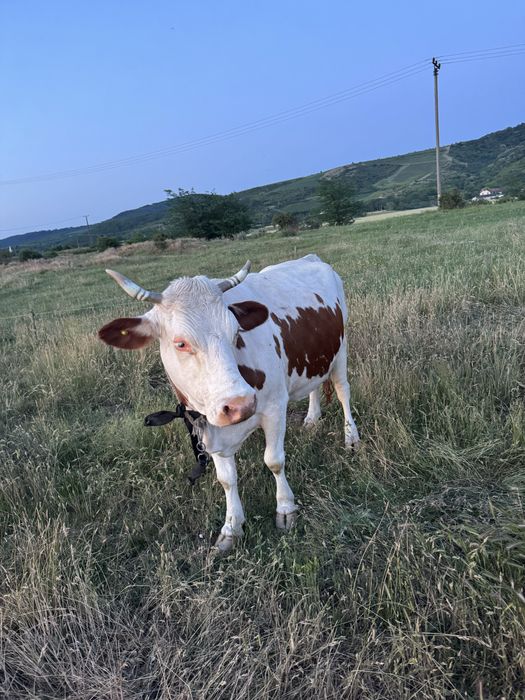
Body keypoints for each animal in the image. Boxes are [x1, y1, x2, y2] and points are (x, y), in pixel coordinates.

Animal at [98, 254, 360, 552]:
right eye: (180, 343)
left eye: (235, 332)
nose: (240, 405)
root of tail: (311, 258)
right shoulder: (209, 428)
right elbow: (226, 479)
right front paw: (232, 526)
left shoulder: (274, 407)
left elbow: (274, 461)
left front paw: (285, 508)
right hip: (313, 357)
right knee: (314, 386)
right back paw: (312, 418)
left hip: (341, 350)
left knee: (343, 391)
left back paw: (351, 437)